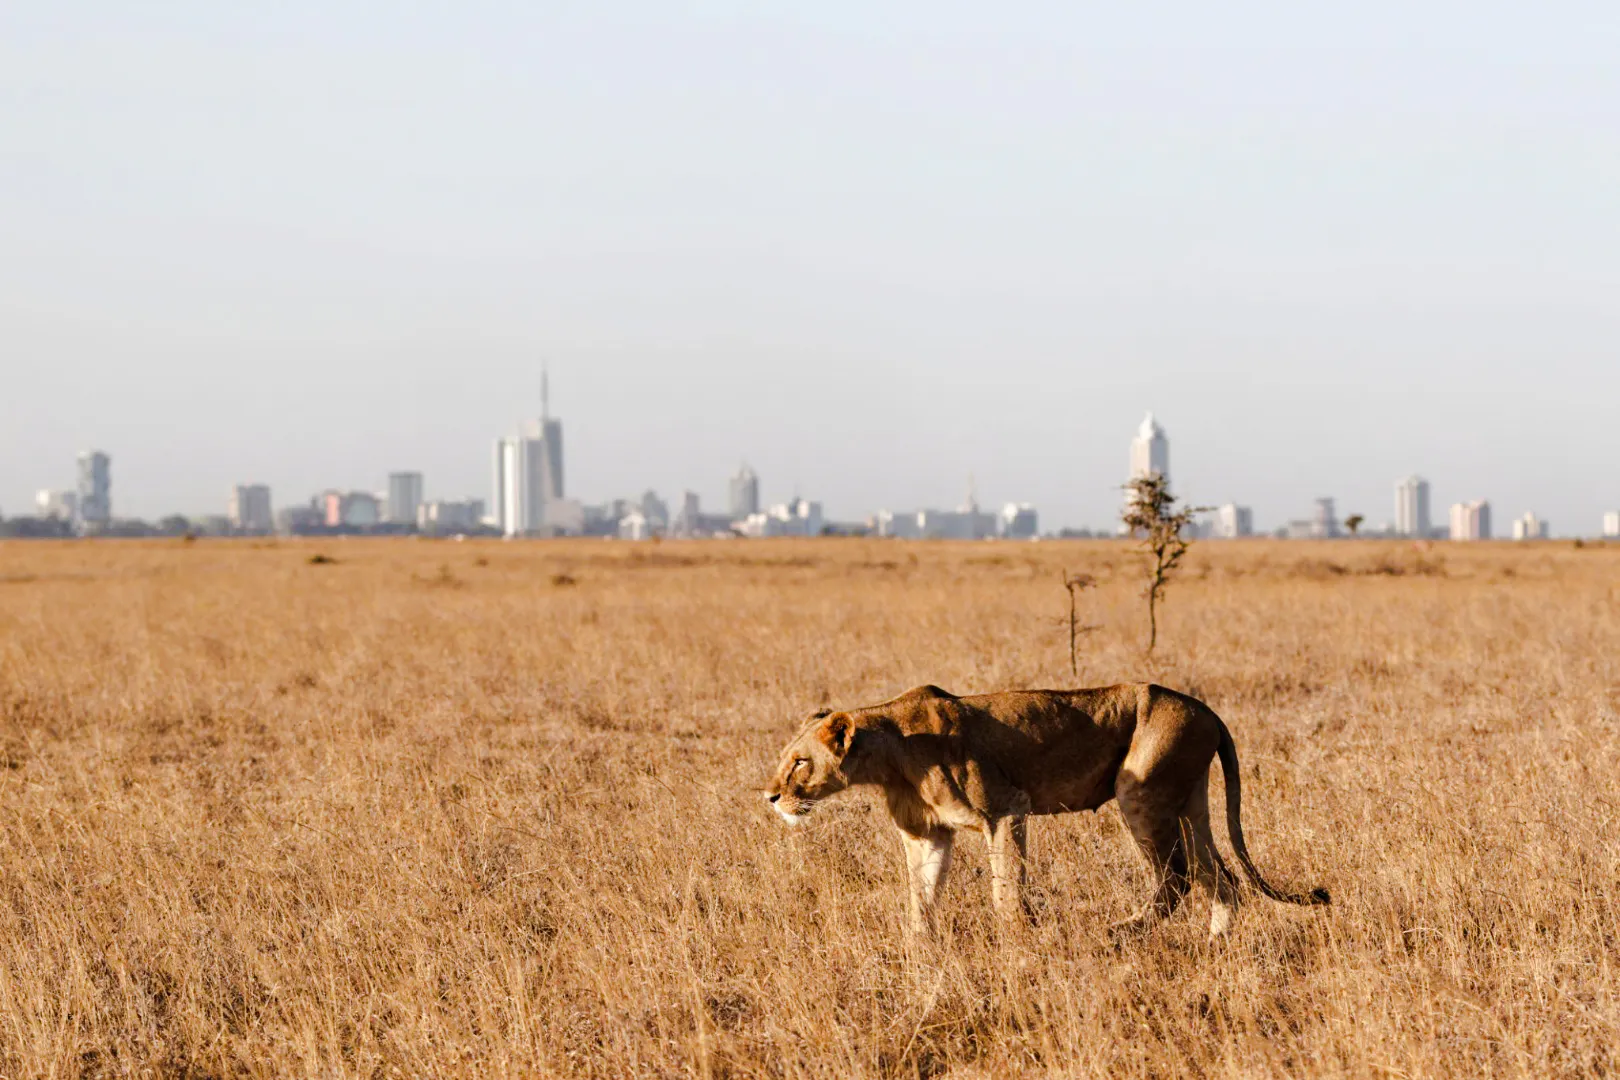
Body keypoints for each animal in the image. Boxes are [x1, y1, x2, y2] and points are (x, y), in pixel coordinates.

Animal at [762, 683, 1328, 937]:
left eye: (799, 762)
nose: (769, 797)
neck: (890, 755)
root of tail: (1205, 708)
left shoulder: (1006, 810)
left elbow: (1005, 890)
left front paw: (1020, 943)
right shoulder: (928, 834)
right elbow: (920, 898)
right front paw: (919, 951)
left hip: (1140, 790)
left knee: (1176, 878)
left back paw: (1119, 932)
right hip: (1190, 802)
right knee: (1222, 878)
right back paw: (1216, 945)